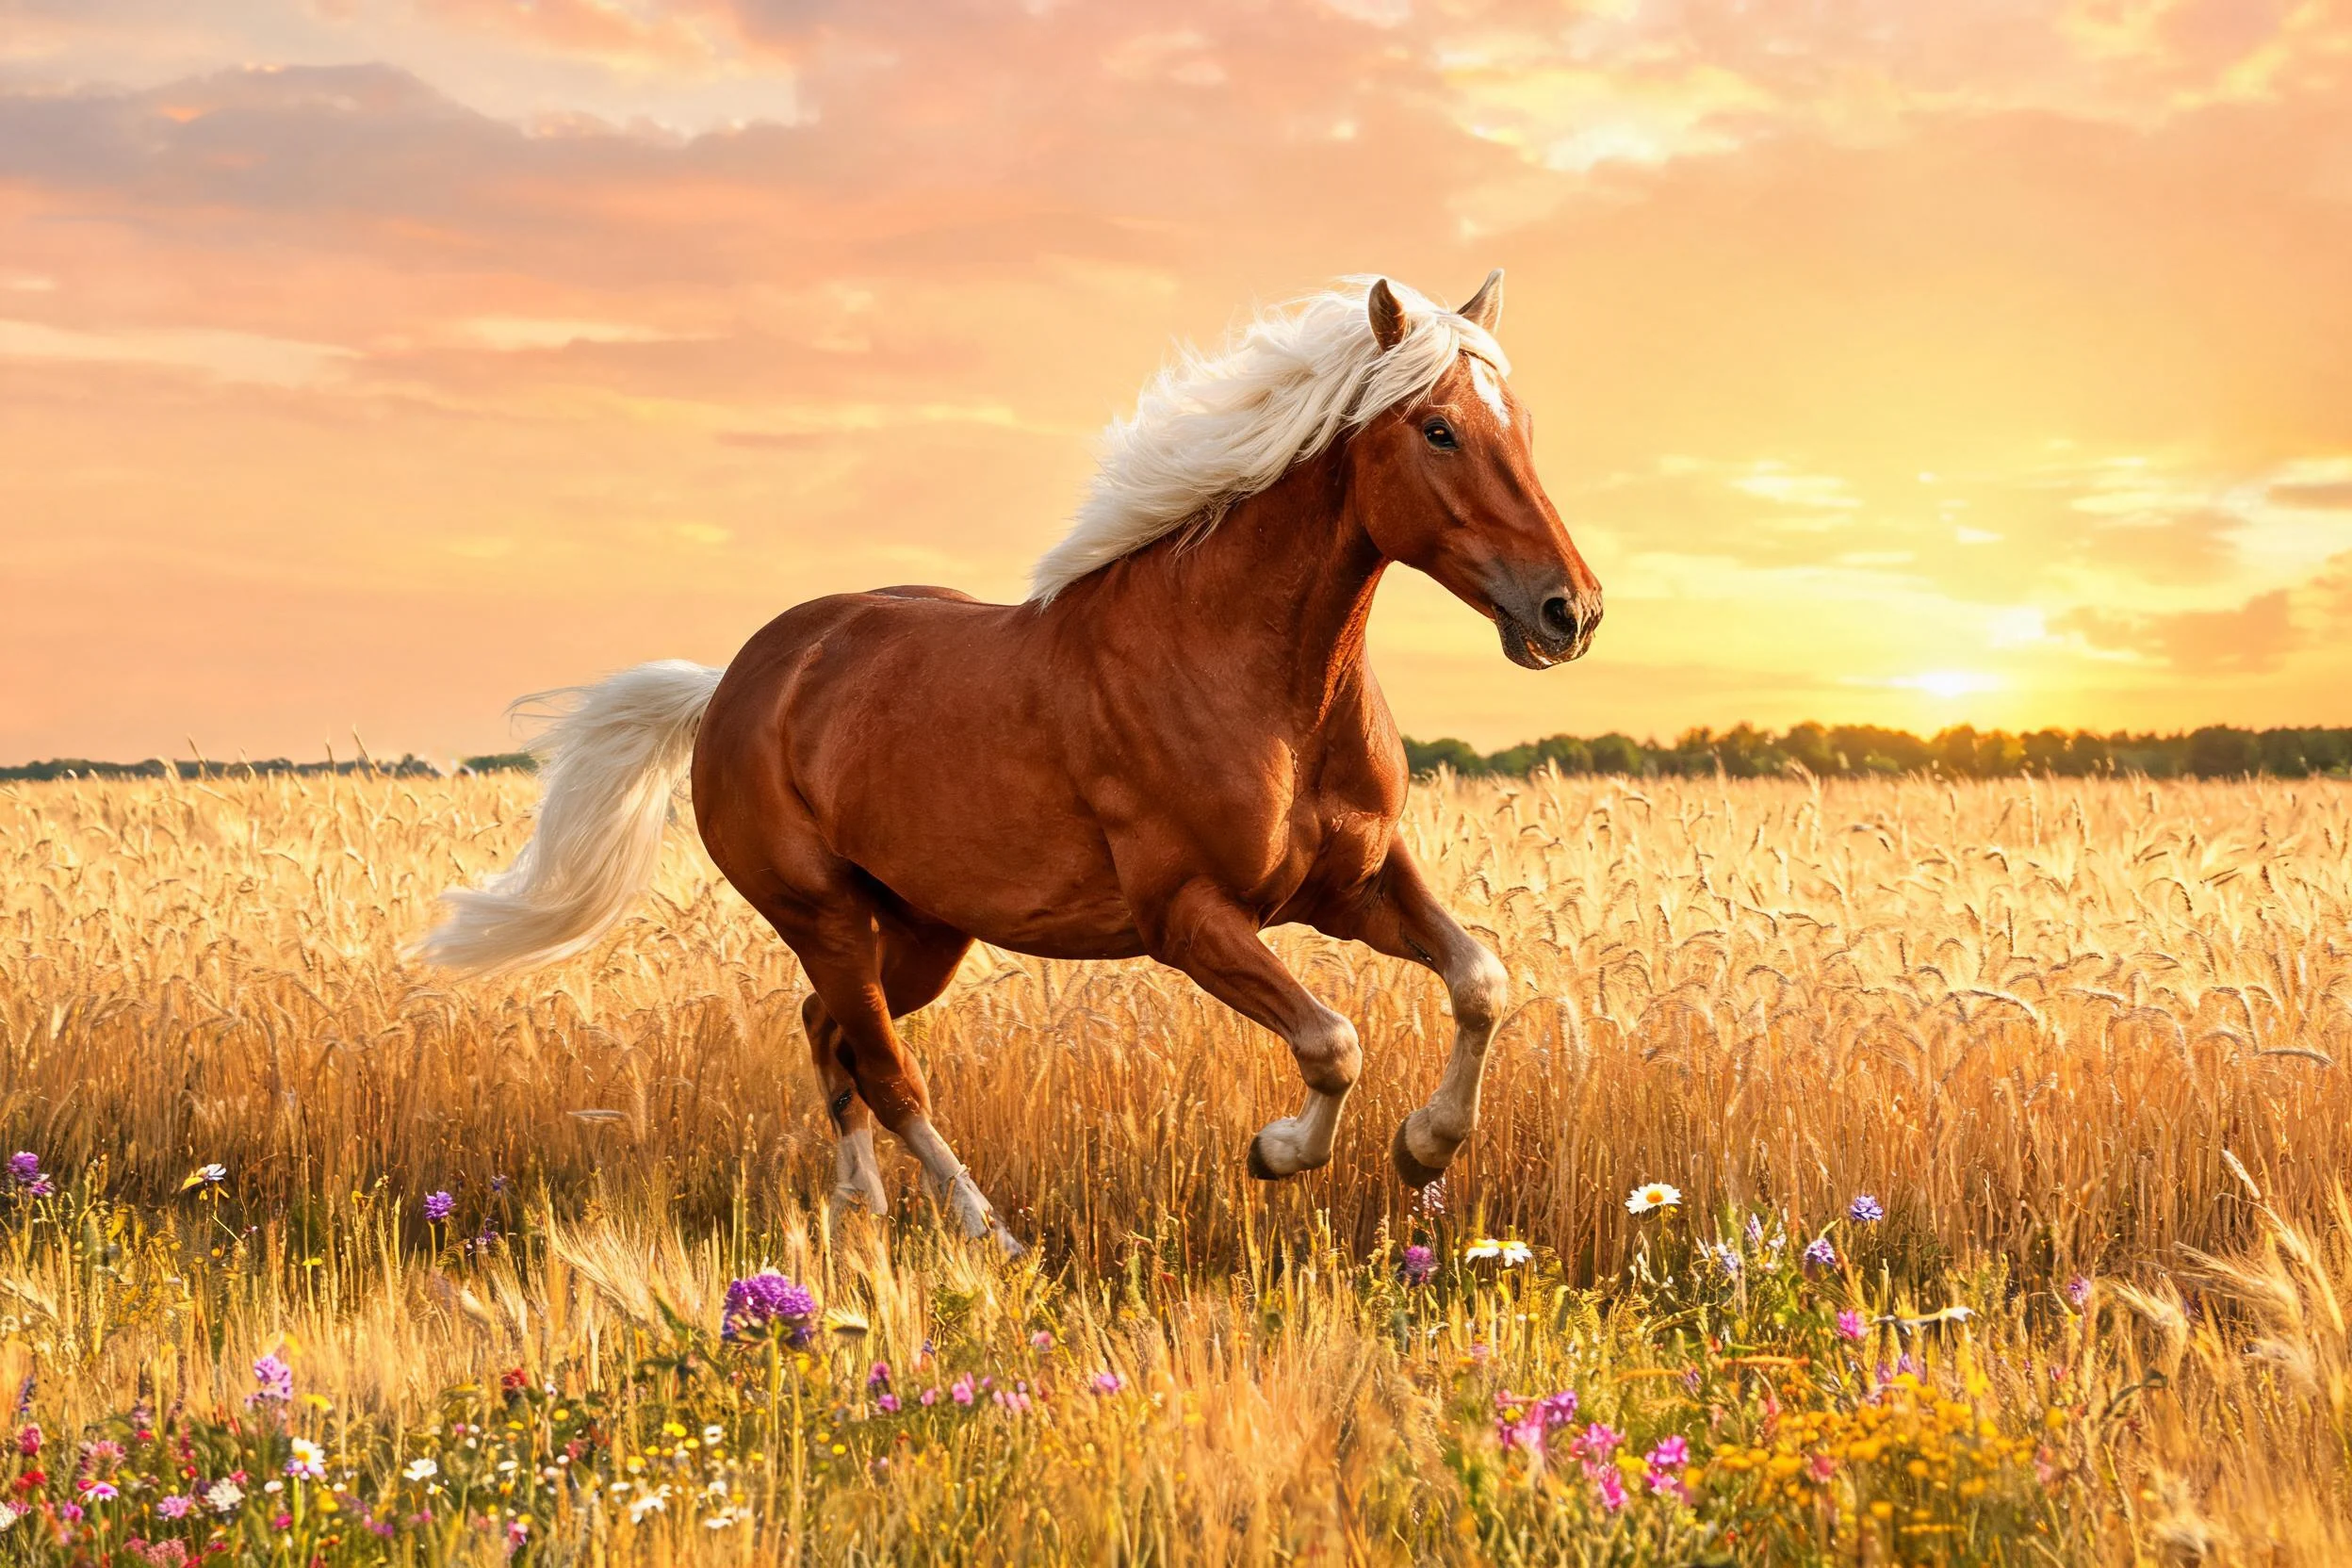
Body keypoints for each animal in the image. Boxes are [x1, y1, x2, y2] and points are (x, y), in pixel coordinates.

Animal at [417, 271, 1602, 1253]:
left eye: (1523, 425)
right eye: (1439, 428)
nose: (1571, 610)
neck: (1257, 675)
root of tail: (735, 684)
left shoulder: (1353, 884)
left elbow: (1482, 980)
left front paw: (1423, 1144)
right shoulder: (1191, 917)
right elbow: (1334, 1041)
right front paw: (1279, 1152)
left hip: (921, 931)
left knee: (830, 1036)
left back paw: (861, 1211)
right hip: (823, 915)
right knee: (887, 1068)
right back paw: (989, 1232)